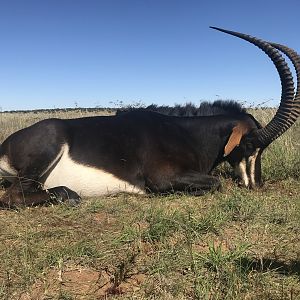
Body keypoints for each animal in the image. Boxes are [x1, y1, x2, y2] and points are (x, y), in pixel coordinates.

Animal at [0, 27, 298, 207]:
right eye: (249, 145)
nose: (257, 185)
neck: (187, 133)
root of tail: (5, 146)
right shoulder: (162, 177)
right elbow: (216, 182)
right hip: (47, 149)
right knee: (12, 196)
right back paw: (68, 194)